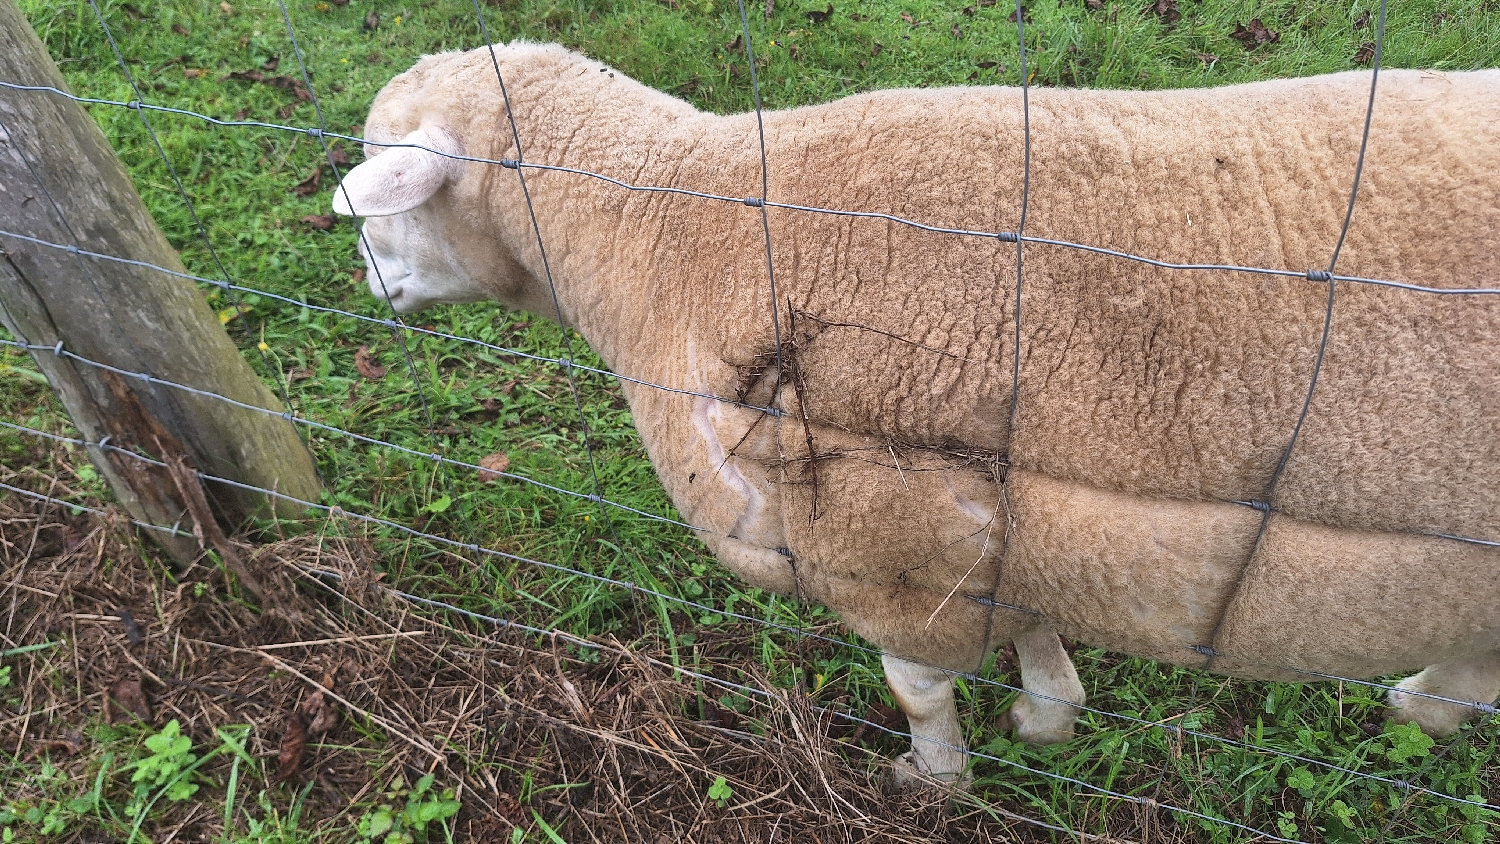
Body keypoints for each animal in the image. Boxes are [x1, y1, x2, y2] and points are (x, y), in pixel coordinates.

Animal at [334, 42, 1500, 785]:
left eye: (387, 204)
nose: (372, 286)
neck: (665, 224)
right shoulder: (988, 522)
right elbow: (1030, 624)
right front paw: (1046, 714)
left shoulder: (885, 546)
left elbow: (917, 687)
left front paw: (933, 775)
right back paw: (1428, 702)